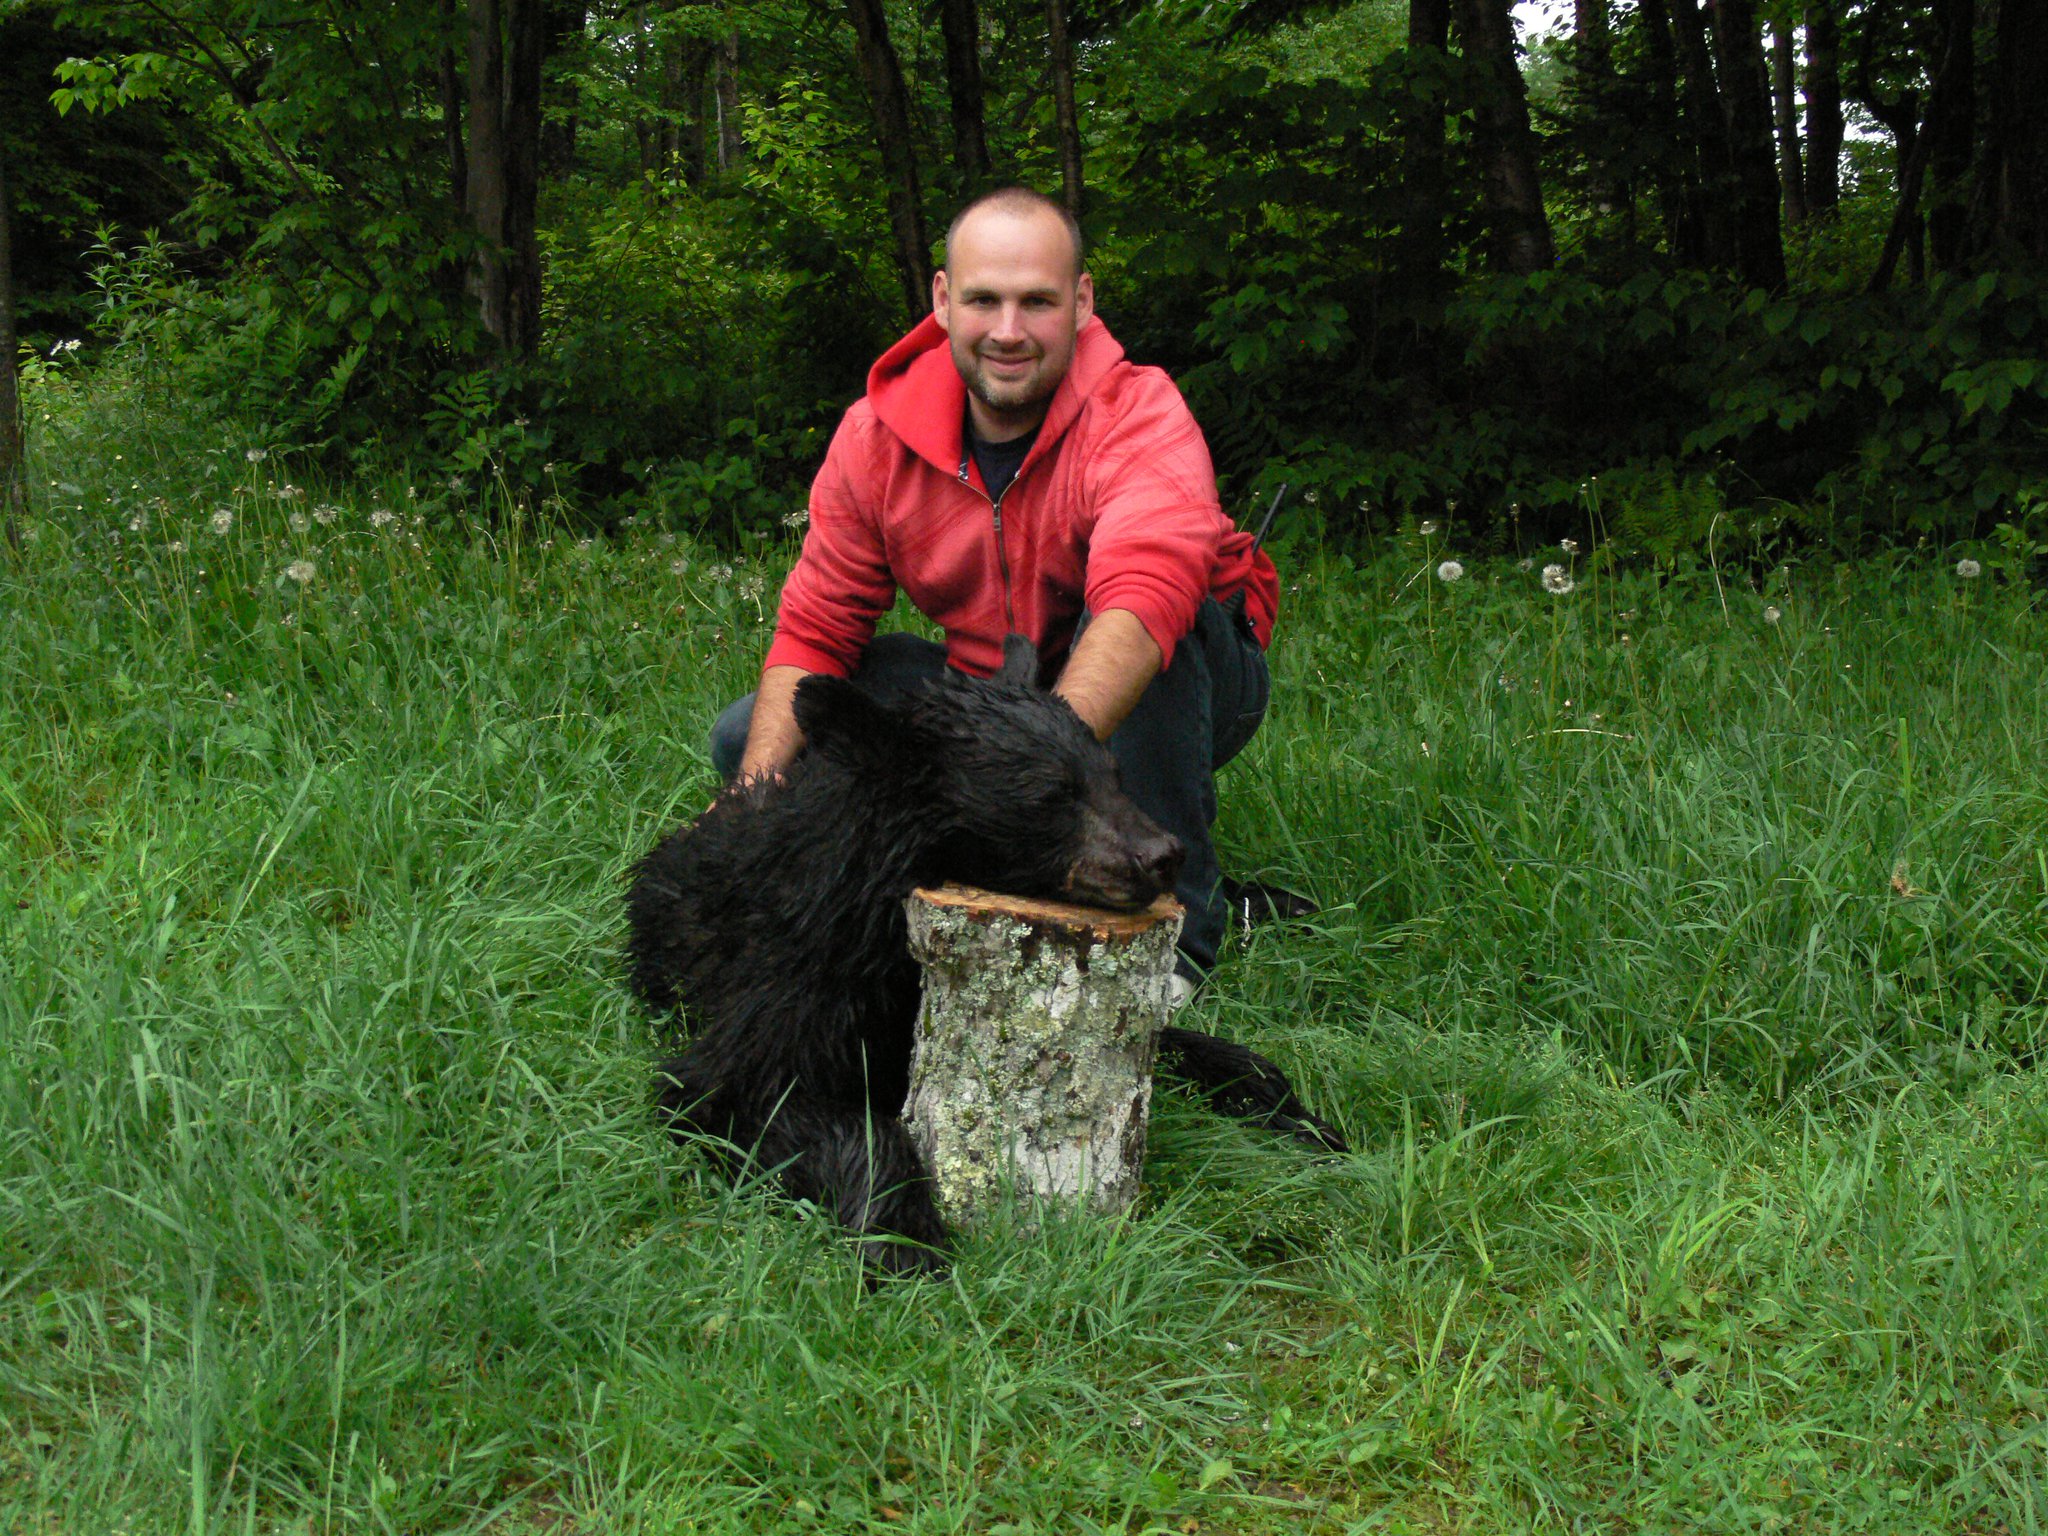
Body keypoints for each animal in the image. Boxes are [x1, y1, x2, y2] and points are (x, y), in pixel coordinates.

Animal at [625, 635, 1346, 1279]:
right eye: (1052, 794)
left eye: (1113, 776)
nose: (1165, 854)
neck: (888, 917)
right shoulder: (802, 976)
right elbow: (748, 1092)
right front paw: (905, 1240)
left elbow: (1176, 1043)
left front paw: (1300, 1116)